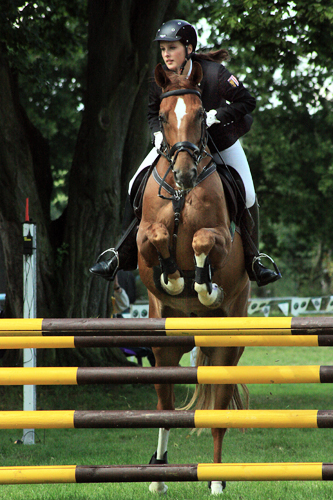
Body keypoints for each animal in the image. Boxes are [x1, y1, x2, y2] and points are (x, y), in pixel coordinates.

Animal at [136, 60, 249, 494]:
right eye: (164, 117)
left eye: (201, 115)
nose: (184, 176)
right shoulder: (143, 239)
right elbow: (156, 237)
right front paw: (173, 279)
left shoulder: (221, 238)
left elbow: (202, 241)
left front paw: (203, 286)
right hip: (164, 347)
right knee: (164, 407)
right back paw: (157, 476)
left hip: (228, 347)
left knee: (218, 413)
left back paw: (215, 480)